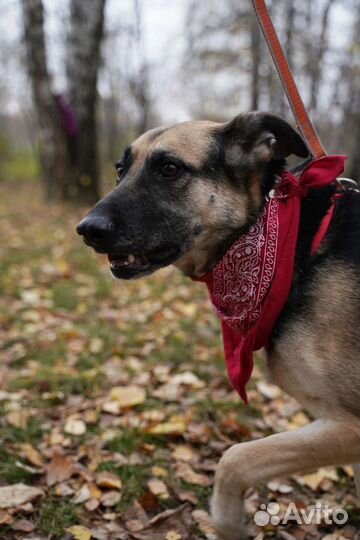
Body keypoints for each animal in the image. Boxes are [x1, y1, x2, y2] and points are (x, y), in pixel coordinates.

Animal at [76, 110, 360, 540]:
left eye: (169, 169)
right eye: (121, 170)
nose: (86, 229)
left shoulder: (350, 426)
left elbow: (234, 458)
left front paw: (227, 523)